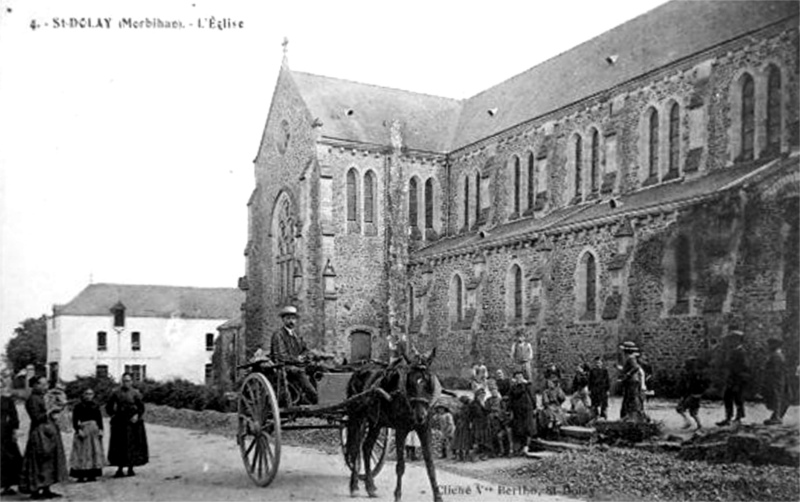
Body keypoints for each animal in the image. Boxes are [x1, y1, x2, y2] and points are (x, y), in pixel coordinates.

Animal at [346, 350, 444, 502]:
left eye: (428, 381)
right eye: (410, 382)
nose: (420, 415)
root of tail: (357, 371)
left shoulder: (424, 428)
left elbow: (430, 464)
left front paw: (438, 496)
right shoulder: (401, 430)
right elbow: (400, 466)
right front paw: (397, 495)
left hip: (376, 422)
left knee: (366, 447)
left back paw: (370, 487)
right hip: (357, 417)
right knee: (355, 448)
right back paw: (354, 486)